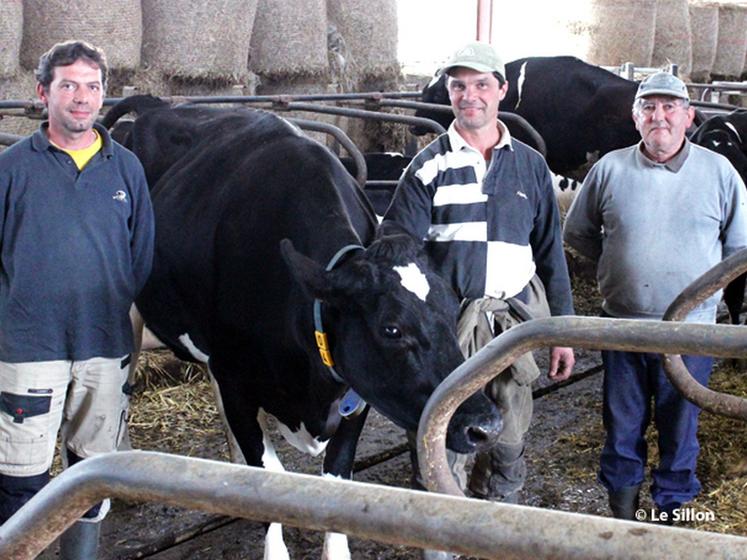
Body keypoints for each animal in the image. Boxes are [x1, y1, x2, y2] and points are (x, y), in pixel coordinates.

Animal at [103, 98, 502, 556]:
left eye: (452, 309)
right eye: (391, 329)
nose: (485, 426)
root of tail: (155, 105)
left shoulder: (356, 393)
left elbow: (337, 479)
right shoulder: (237, 380)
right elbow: (269, 482)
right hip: (127, 313)